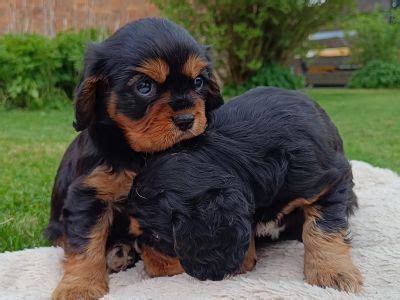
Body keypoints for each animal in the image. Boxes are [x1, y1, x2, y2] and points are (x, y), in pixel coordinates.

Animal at [45, 18, 223, 300]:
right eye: (144, 87)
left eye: (198, 82)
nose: (187, 120)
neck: (138, 154)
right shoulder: (88, 193)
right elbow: (85, 244)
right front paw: (80, 286)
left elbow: (157, 235)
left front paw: (167, 267)